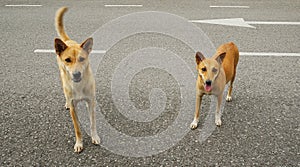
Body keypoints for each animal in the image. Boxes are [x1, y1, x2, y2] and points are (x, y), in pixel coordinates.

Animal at [54, 6, 101, 153]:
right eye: (68, 60)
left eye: (81, 59)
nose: (76, 74)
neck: (79, 86)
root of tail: (68, 42)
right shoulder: (74, 109)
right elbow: (77, 128)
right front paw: (79, 143)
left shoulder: (91, 102)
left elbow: (93, 123)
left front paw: (94, 136)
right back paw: (66, 103)